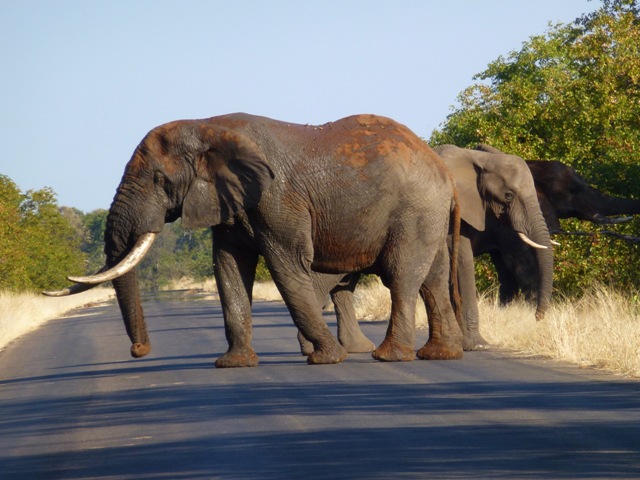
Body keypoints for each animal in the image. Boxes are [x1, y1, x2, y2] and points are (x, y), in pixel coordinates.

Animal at [46, 112, 464, 366]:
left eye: (159, 180)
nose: (139, 350)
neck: (206, 126)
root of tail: (442, 169)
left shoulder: (277, 199)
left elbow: (287, 267)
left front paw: (326, 358)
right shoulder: (228, 200)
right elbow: (229, 268)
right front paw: (234, 364)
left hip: (414, 208)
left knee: (402, 276)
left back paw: (388, 357)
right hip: (427, 212)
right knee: (433, 280)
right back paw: (439, 355)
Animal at [302, 144, 552, 350]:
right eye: (508, 196)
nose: (536, 320)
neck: (478, 159)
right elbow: (462, 262)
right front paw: (477, 345)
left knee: (343, 286)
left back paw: (356, 348)